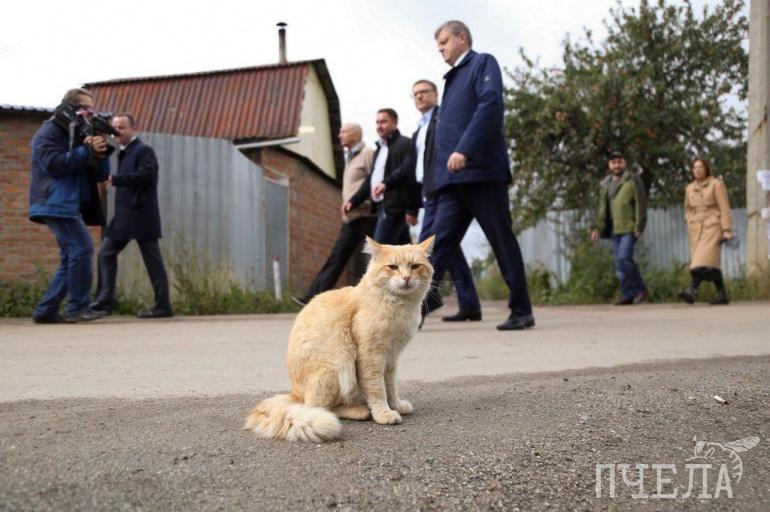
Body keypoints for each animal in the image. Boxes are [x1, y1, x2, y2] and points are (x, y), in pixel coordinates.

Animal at [244, 235, 435, 442]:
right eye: (392, 267)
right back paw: (360, 411)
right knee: (321, 408)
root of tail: (295, 396)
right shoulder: (371, 355)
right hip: (338, 364)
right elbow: (377, 389)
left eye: (415, 266)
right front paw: (384, 413)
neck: (399, 305)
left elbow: (391, 387)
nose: (407, 278)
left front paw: (397, 406)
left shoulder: (391, 358)